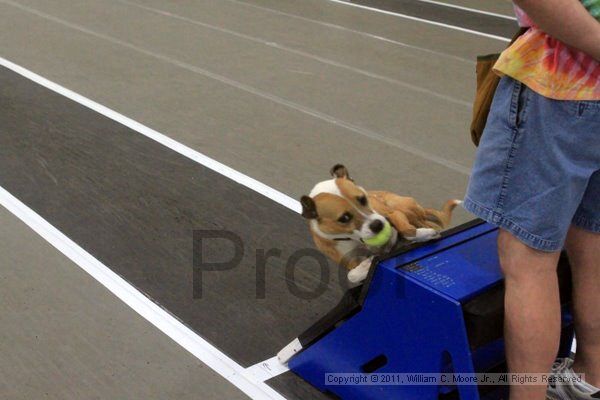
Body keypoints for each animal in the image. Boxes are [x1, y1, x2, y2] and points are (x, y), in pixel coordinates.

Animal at [302, 164, 462, 282]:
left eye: (362, 199)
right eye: (344, 218)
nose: (378, 225)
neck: (357, 240)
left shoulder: (393, 215)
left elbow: (407, 230)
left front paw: (425, 234)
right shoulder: (350, 261)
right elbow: (352, 275)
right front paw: (366, 266)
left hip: (402, 206)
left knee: (426, 223)